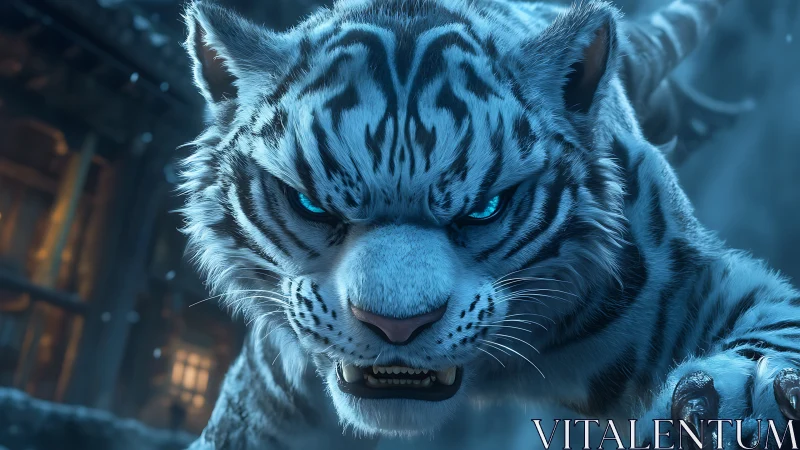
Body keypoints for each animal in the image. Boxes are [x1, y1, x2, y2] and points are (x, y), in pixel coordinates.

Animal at [178, 0, 800, 448]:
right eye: (311, 205)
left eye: (485, 209)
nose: (396, 327)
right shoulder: (258, 408)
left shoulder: (689, 281)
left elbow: (776, 326)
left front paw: (743, 398)